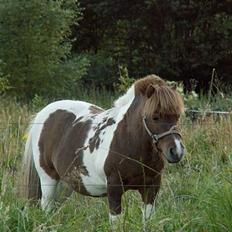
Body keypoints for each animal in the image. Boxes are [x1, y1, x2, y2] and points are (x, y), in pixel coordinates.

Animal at [21, 75, 185, 226]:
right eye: (155, 117)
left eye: (177, 116)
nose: (176, 151)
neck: (129, 141)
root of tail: (42, 114)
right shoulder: (114, 189)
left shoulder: (151, 188)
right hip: (48, 179)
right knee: (46, 207)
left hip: (65, 184)